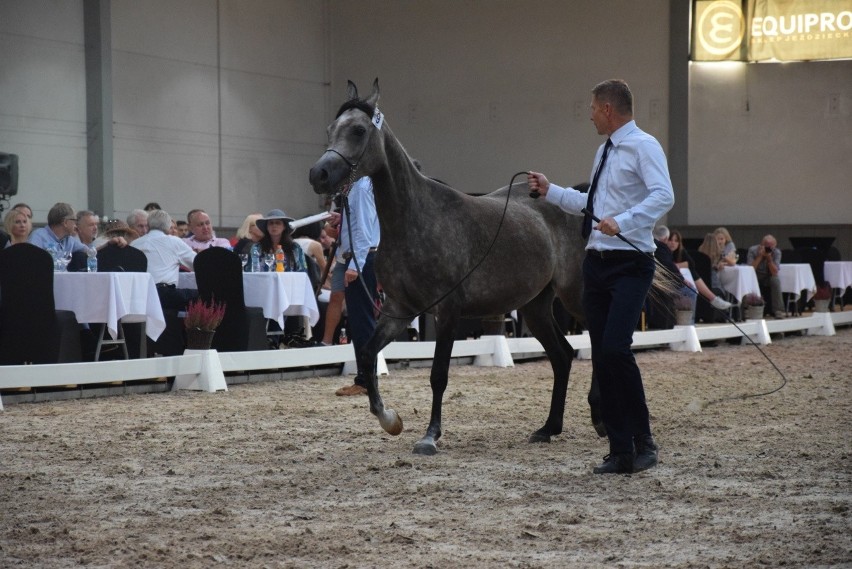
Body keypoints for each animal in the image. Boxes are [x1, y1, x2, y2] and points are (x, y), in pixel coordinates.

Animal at [312, 80, 592, 454]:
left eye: (358, 130)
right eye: (331, 129)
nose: (319, 174)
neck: (415, 219)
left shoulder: (446, 311)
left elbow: (438, 375)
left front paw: (430, 436)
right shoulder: (399, 309)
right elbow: (368, 354)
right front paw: (390, 419)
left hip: (576, 296)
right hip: (535, 306)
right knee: (562, 356)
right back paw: (548, 428)